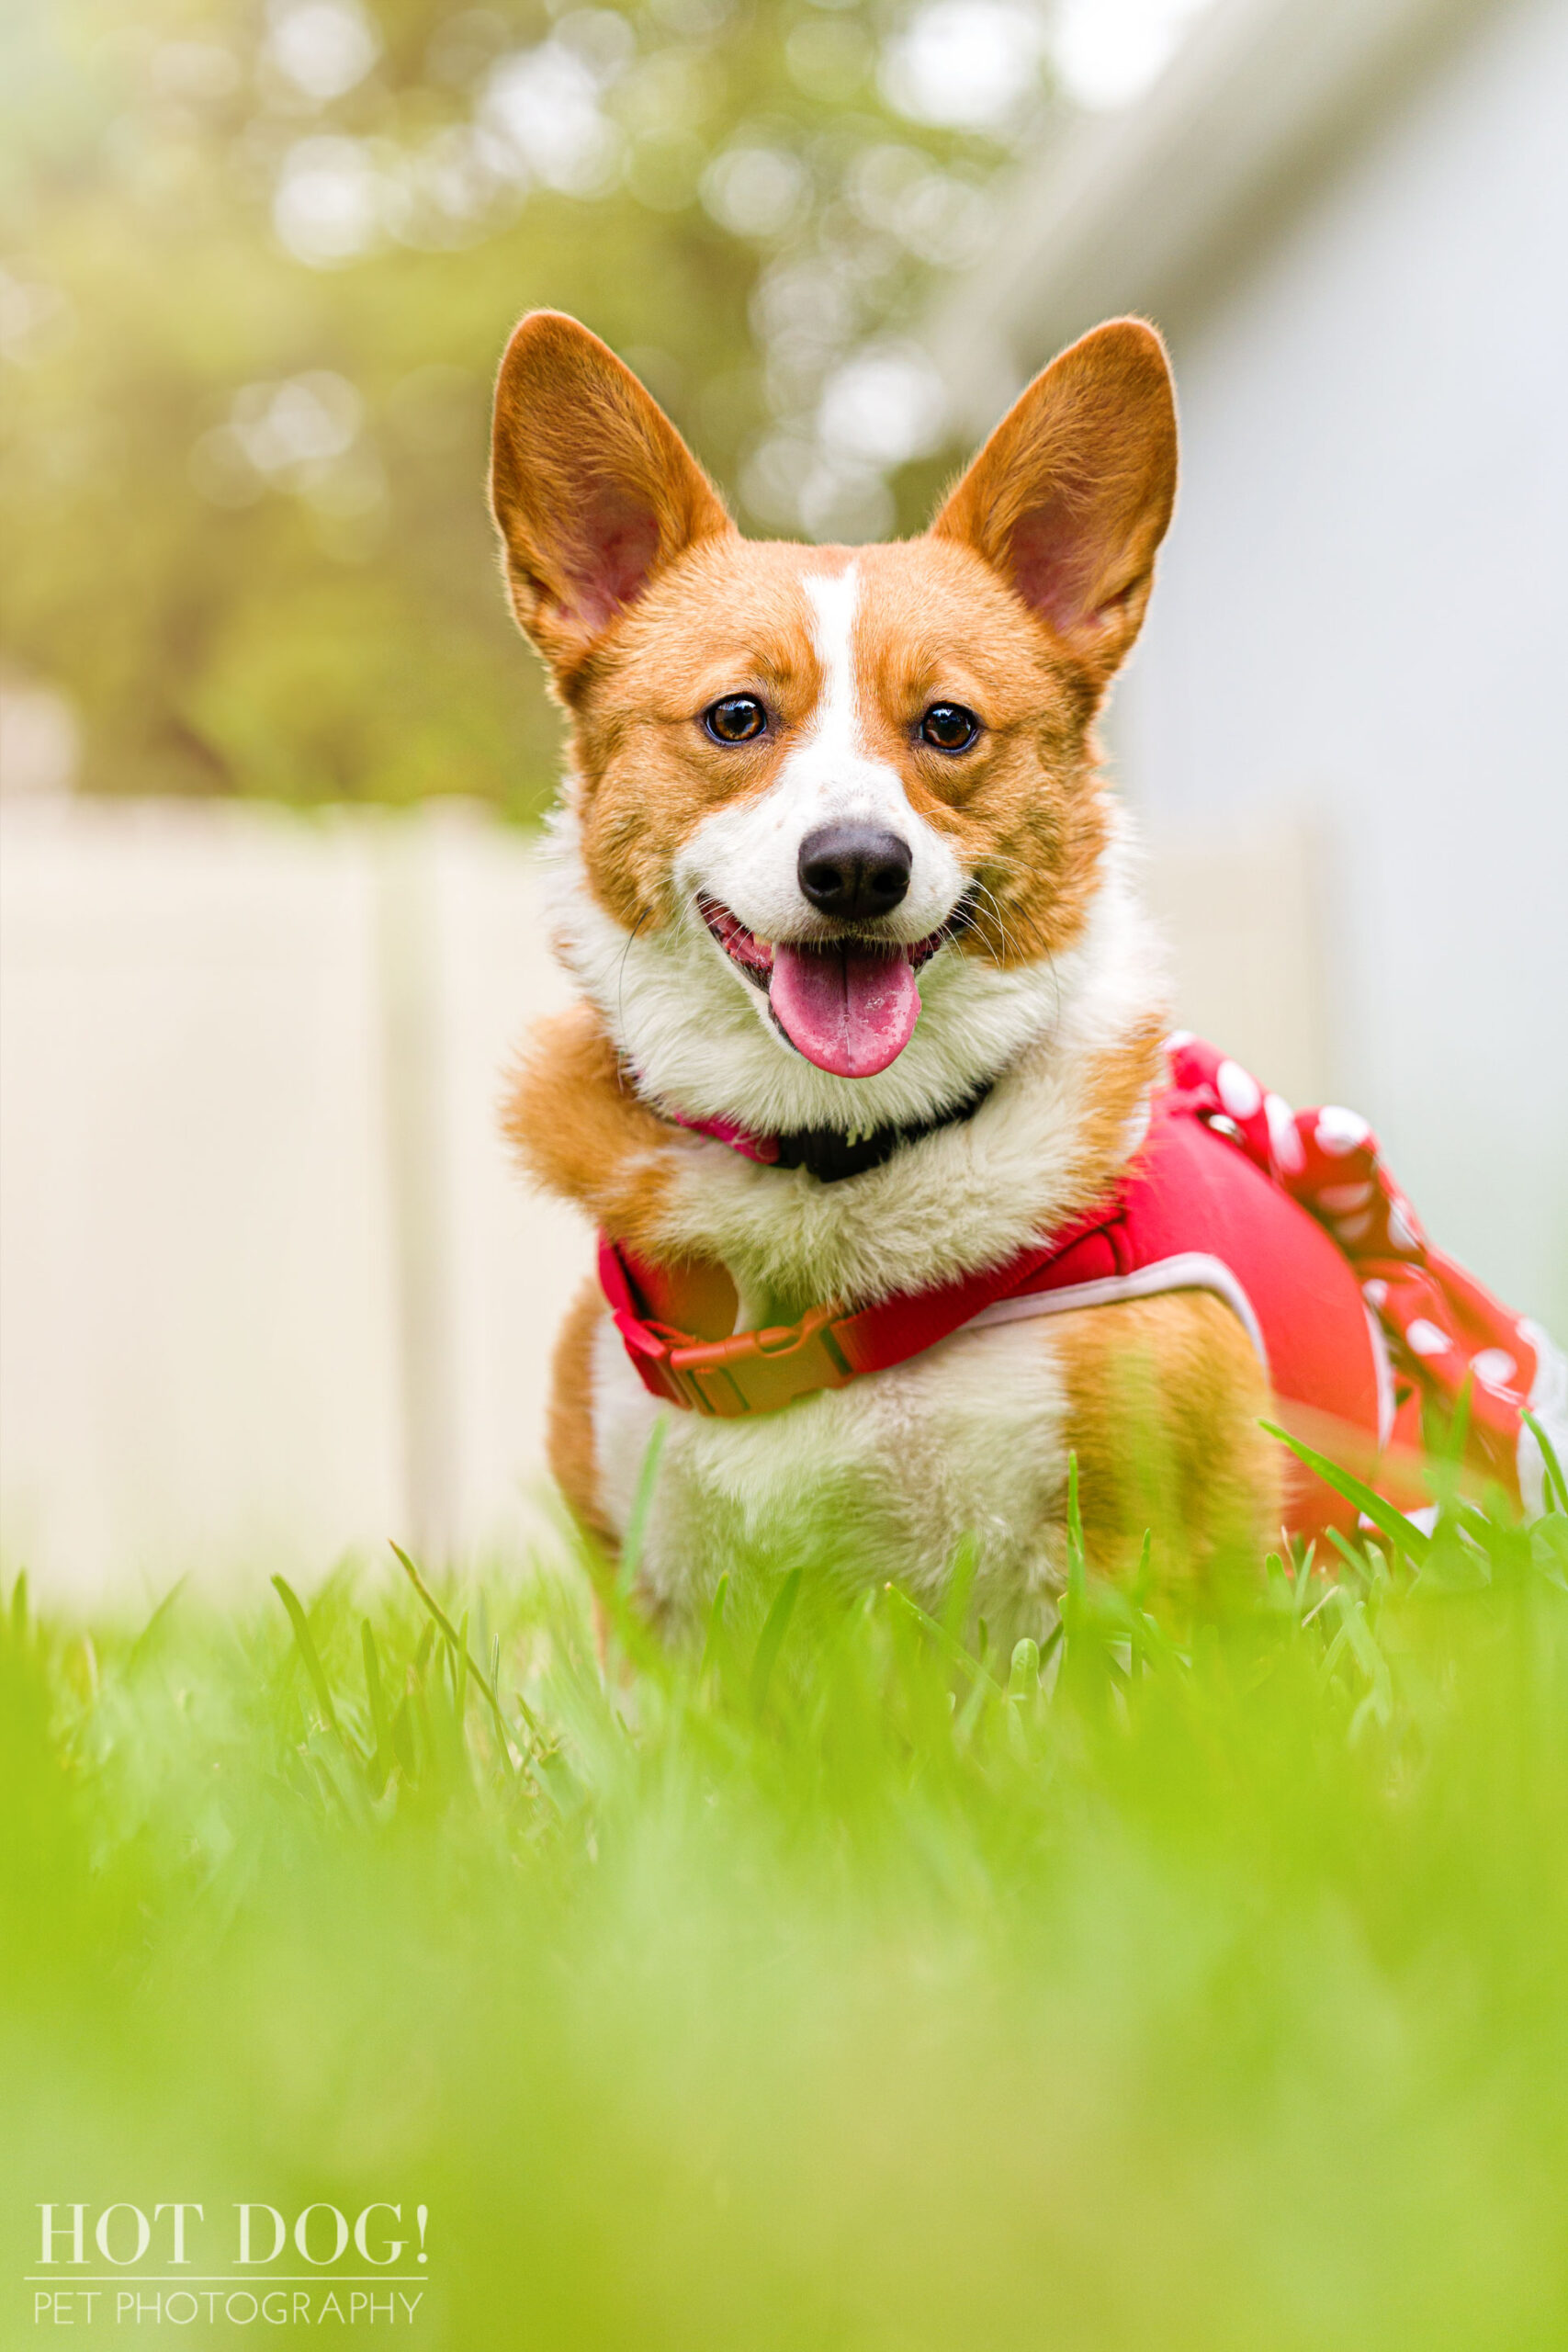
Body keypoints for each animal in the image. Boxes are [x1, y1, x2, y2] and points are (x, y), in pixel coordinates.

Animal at [486, 308, 1561, 1636]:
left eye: (948, 726)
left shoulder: (1154, 1558)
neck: (841, 1162)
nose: (856, 868)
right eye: (735, 717)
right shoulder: (653, 1604)